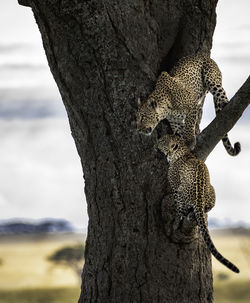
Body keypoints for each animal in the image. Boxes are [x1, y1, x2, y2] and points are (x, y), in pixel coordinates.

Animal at [156, 134, 240, 274]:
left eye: (162, 141)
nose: (156, 143)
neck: (182, 152)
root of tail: (199, 200)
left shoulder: (174, 185)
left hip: (180, 192)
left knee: (181, 213)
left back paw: (176, 223)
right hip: (212, 190)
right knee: (206, 208)